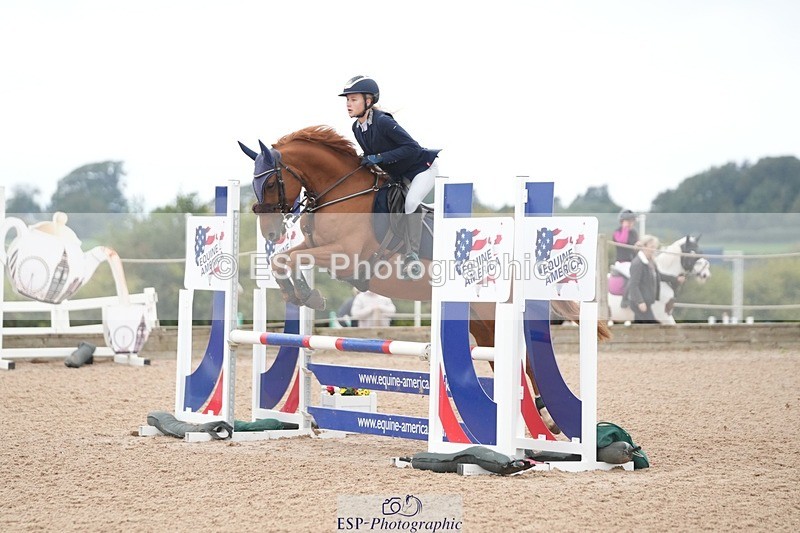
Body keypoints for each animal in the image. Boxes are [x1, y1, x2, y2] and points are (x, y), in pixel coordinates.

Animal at [239, 125, 612, 431]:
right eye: (253, 184)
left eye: (269, 182)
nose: (270, 232)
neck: (340, 194)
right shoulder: (316, 246)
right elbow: (282, 259)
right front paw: (301, 295)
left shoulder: (344, 256)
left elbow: (288, 258)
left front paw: (306, 295)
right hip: (477, 318)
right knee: (497, 357)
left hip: (494, 311)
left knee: (526, 361)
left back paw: (547, 421)